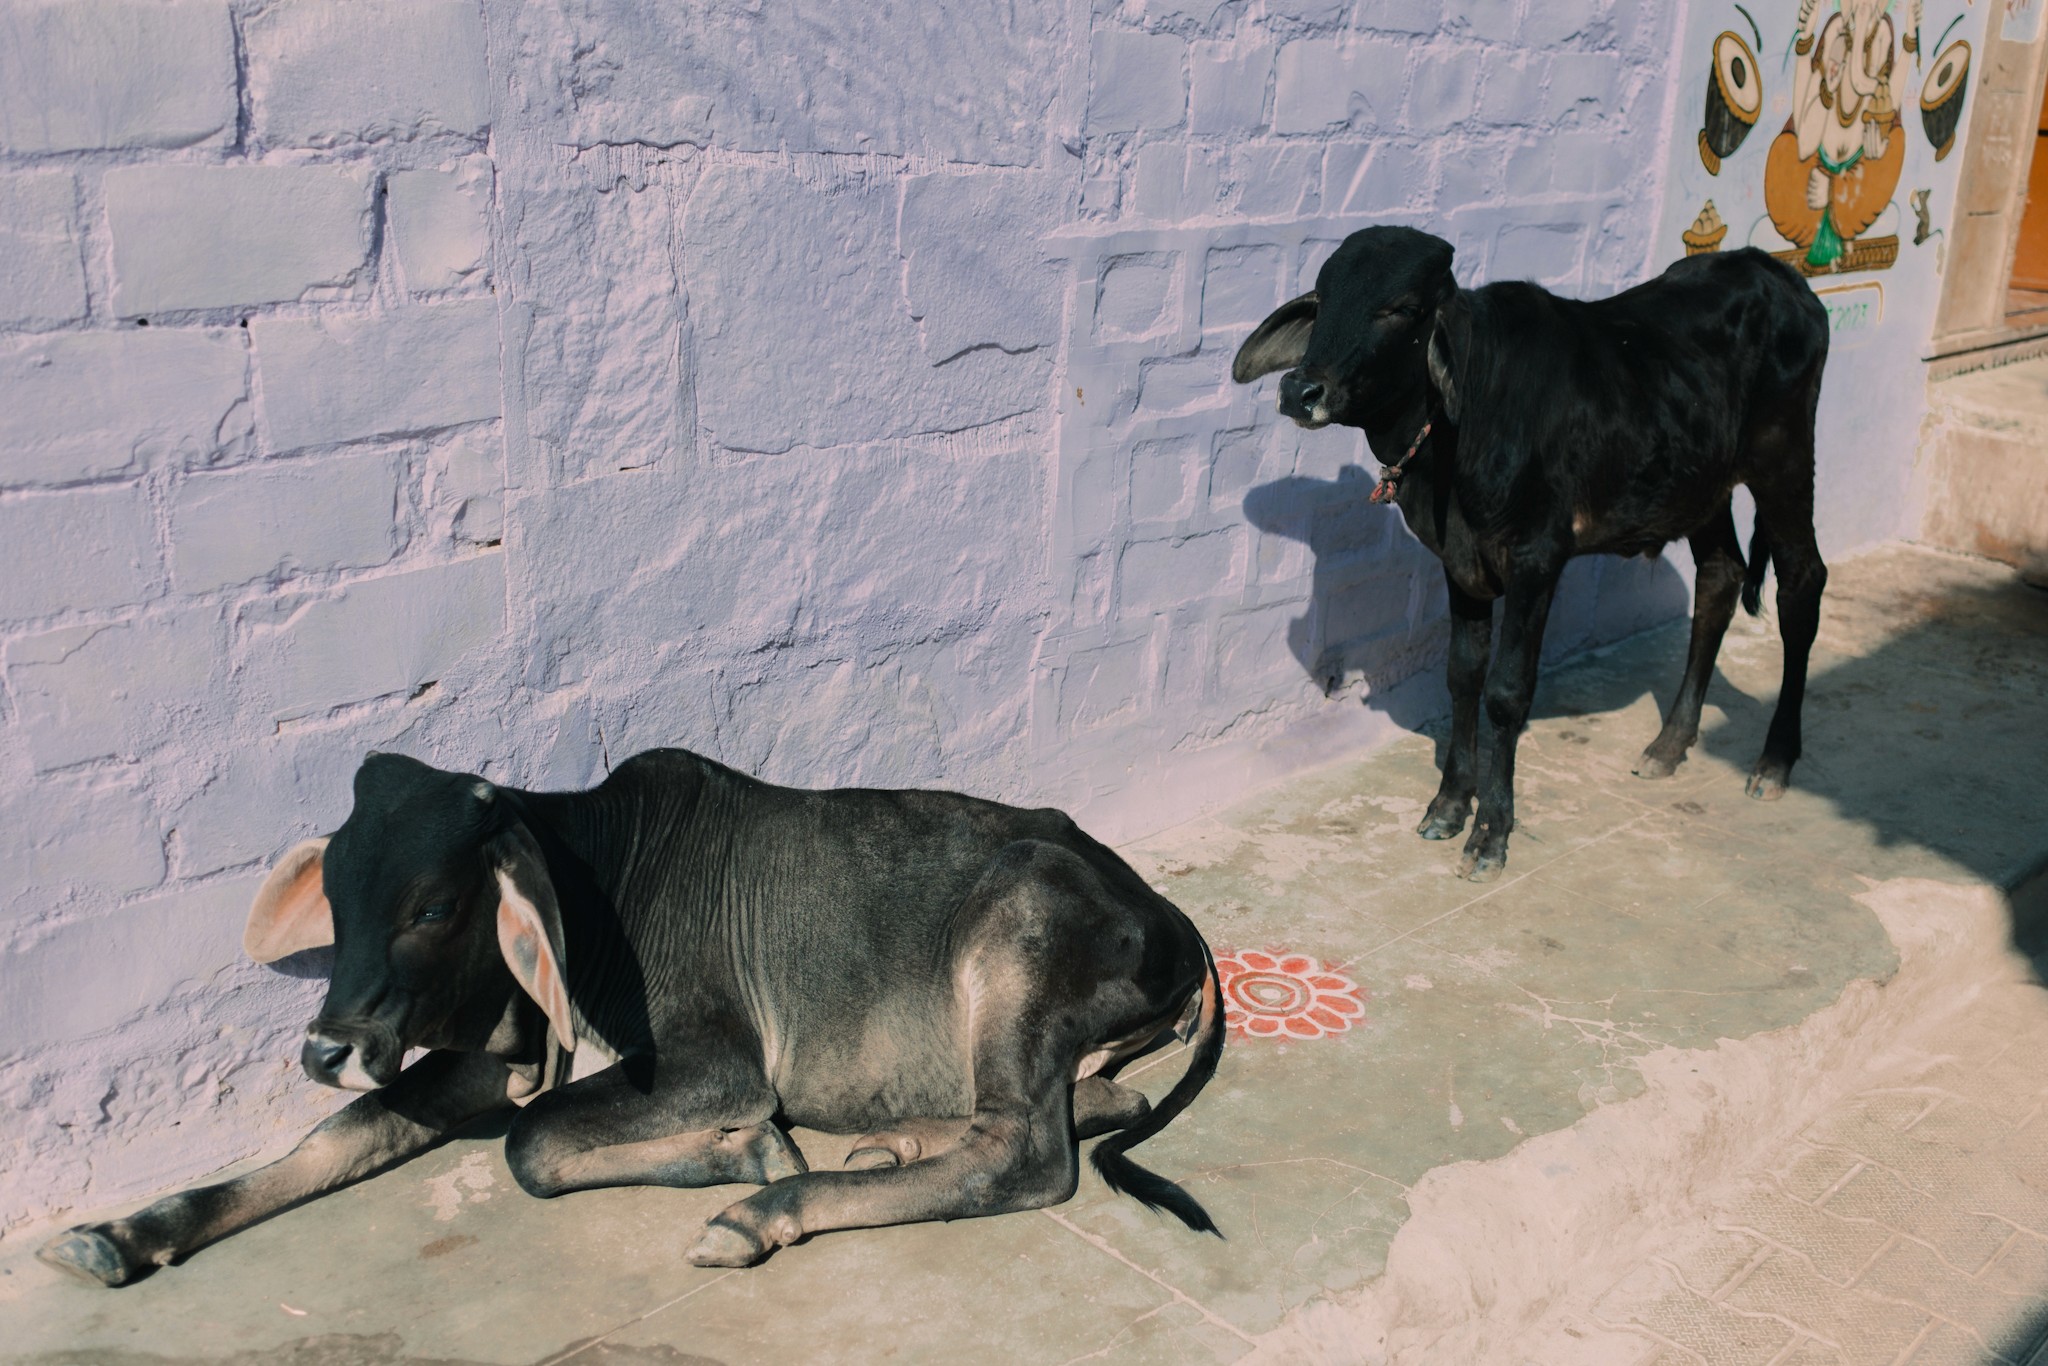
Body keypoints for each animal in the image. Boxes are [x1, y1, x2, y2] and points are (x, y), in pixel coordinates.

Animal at [37, 749, 1223, 1286]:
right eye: (334, 891)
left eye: (432, 906)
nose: (326, 1046)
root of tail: (1166, 912)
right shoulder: (497, 1053)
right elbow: (337, 1138)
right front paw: (123, 1232)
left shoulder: (710, 1060)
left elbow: (528, 1144)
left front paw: (745, 1155)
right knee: (1084, 1103)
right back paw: (893, 1138)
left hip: (1014, 930)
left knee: (1028, 1152)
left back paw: (764, 1209)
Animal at [1234, 226, 1830, 881]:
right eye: (1322, 295)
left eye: (1402, 309)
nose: (1300, 390)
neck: (1458, 429)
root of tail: (1775, 273)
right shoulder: (1460, 563)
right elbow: (1463, 675)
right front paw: (1449, 803)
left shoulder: (1536, 560)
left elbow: (1505, 692)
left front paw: (1491, 832)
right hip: (1702, 488)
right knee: (1720, 577)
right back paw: (1669, 743)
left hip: (1784, 462)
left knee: (1802, 583)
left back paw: (1774, 762)